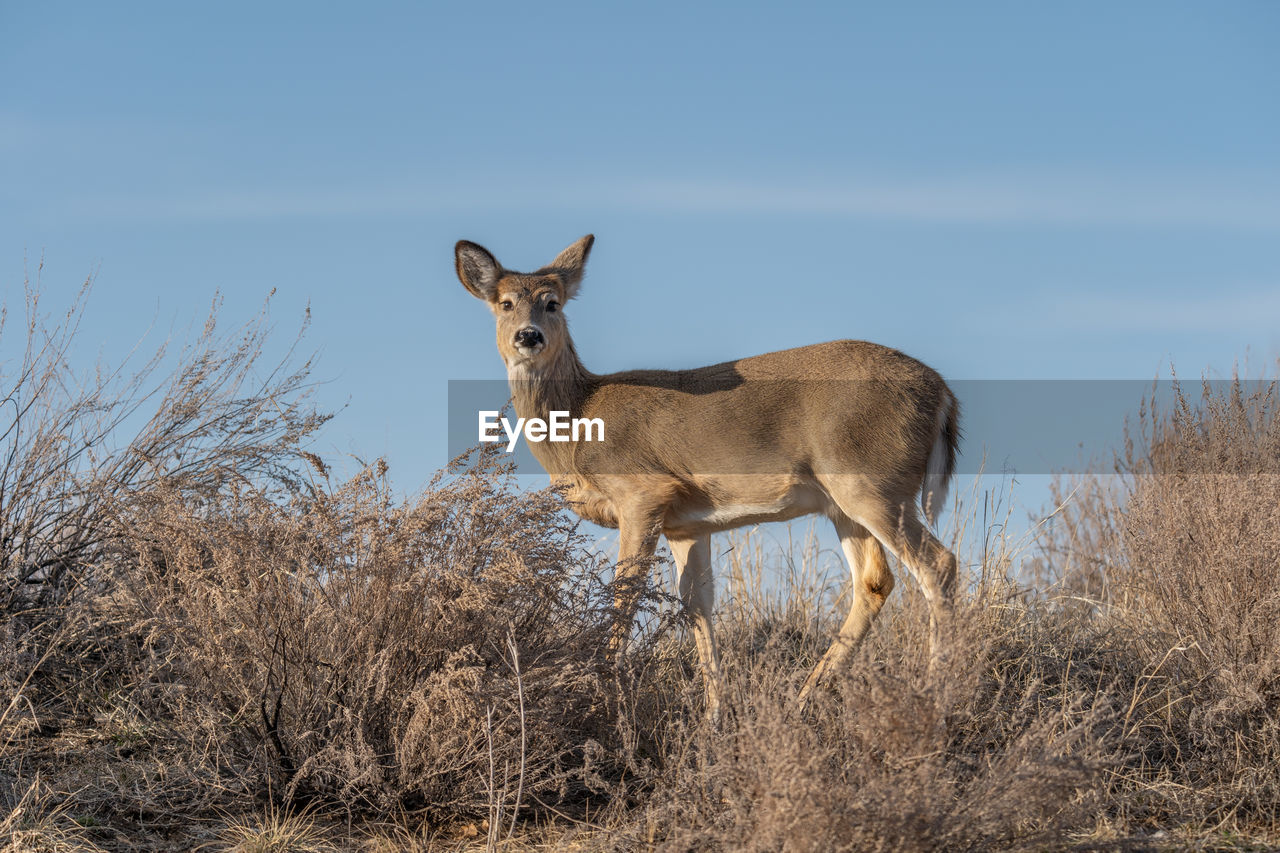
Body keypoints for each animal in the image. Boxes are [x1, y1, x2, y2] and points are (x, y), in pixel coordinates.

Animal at [455, 230, 957, 712]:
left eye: (552, 302)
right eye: (505, 303)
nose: (528, 336)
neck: (579, 421)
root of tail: (943, 392)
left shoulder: (643, 493)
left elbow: (624, 595)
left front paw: (601, 698)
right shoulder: (686, 524)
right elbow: (697, 605)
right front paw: (714, 715)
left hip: (870, 482)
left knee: (938, 564)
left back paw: (939, 693)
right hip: (842, 503)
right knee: (874, 581)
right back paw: (804, 699)